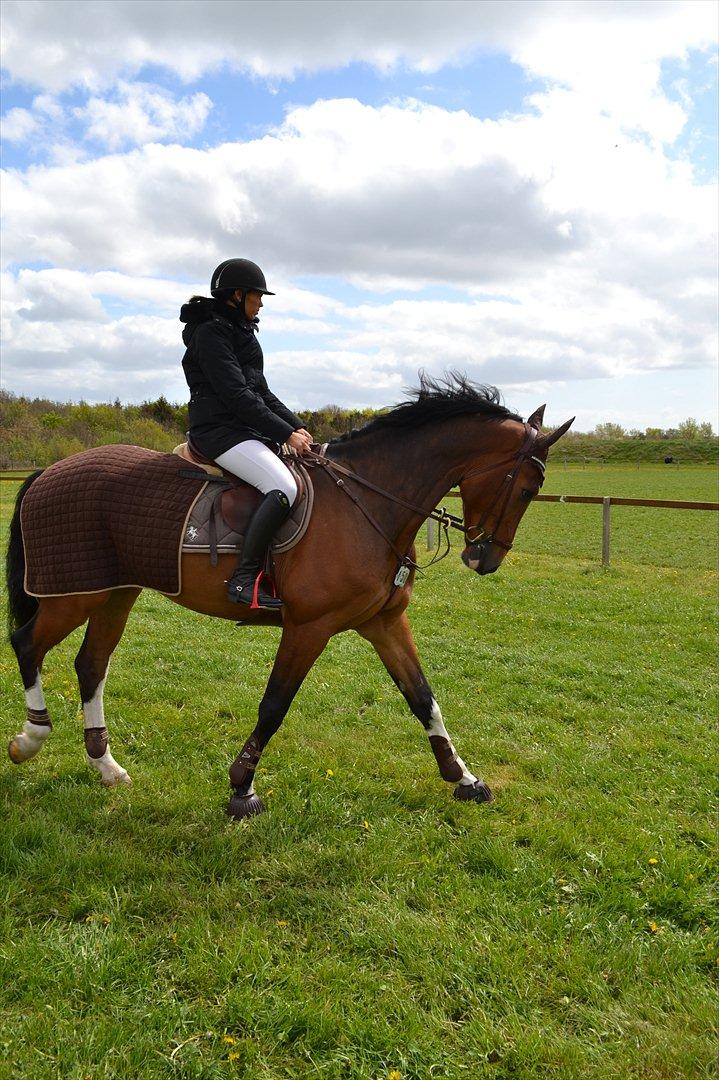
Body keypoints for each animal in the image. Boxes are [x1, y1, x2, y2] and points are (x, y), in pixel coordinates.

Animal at [2, 378, 570, 816]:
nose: (484, 560)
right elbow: (275, 704)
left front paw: (464, 778)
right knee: (27, 644)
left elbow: (422, 697)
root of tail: (49, 470)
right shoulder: (308, 627)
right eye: (526, 489)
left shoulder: (384, 623)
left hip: (116, 594)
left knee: (91, 664)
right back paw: (30, 740)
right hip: (73, 595)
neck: (368, 501)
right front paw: (242, 789)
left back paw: (105, 767)